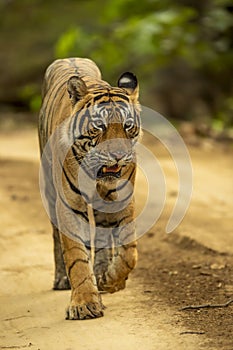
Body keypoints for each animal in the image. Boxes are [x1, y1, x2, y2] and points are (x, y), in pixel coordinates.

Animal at [38, 58, 140, 320]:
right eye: (99, 126)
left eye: (127, 126)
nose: (118, 155)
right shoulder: (69, 205)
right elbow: (76, 257)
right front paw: (84, 303)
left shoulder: (123, 199)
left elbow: (129, 252)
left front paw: (112, 280)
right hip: (50, 190)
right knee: (56, 237)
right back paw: (62, 280)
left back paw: (103, 273)